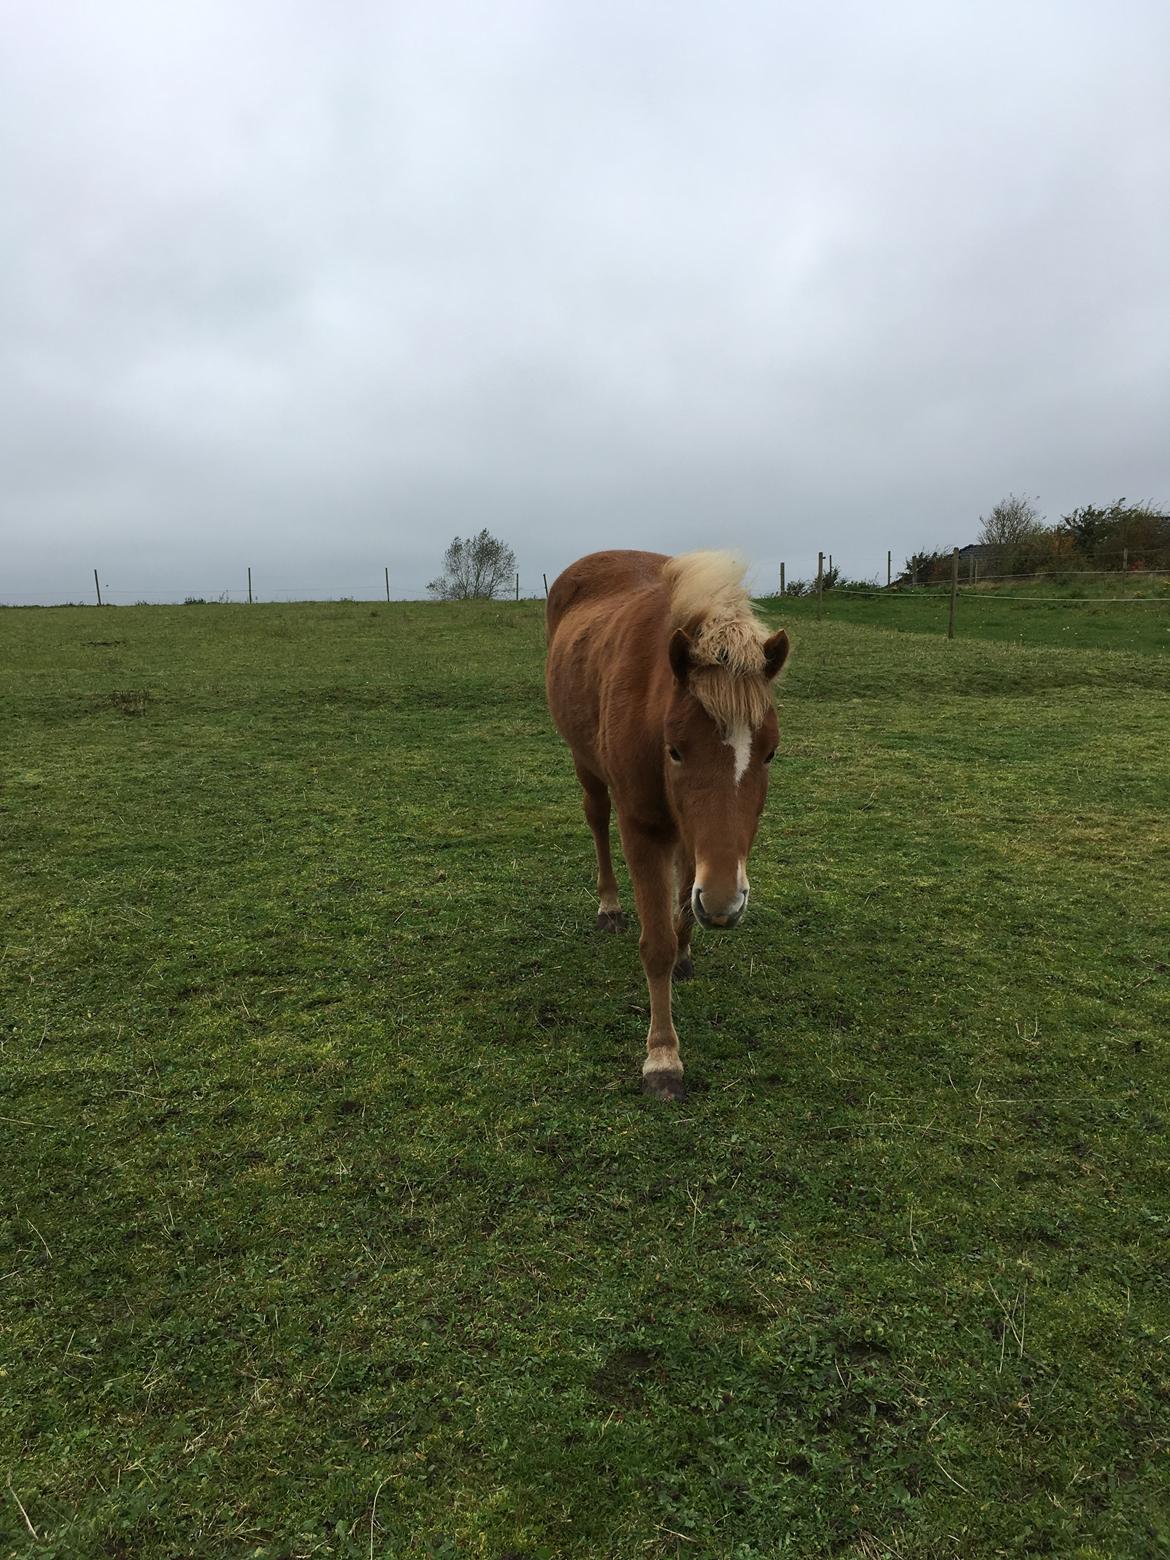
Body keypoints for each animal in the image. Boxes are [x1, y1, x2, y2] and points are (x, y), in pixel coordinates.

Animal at [549, 555, 789, 1104]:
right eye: (675, 749)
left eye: (769, 753)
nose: (724, 904)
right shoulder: (643, 830)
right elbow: (654, 944)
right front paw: (662, 1058)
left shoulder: (692, 839)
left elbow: (682, 903)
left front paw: (685, 952)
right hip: (585, 766)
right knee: (596, 818)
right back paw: (610, 906)